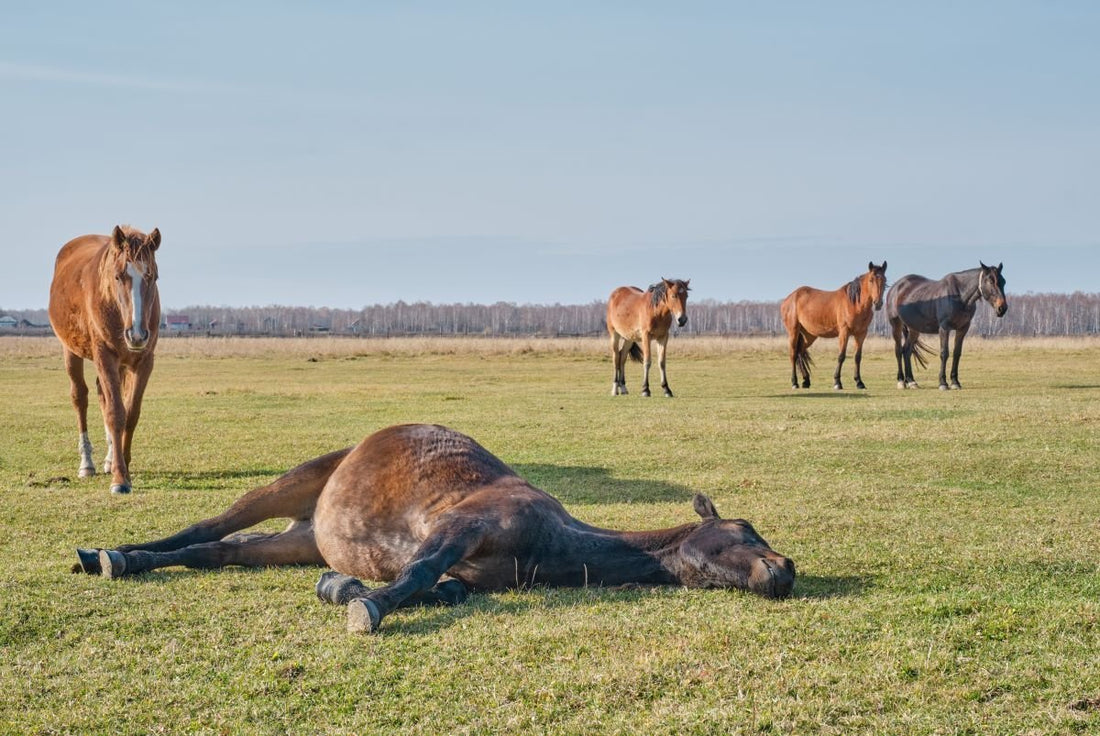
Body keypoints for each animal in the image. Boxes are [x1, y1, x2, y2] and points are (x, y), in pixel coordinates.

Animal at [48, 225, 162, 494]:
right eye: (118, 276)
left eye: (153, 277)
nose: (137, 334)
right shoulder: (105, 356)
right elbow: (115, 414)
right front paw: (120, 478)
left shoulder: (144, 362)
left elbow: (131, 414)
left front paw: (123, 465)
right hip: (72, 352)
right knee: (80, 398)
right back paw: (87, 464)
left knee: (102, 395)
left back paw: (109, 459)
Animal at [74, 423, 795, 633]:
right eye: (745, 529)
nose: (785, 570)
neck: (551, 543)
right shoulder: (458, 529)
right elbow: (417, 573)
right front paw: (365, 607)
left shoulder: (466, 569)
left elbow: (440, 588)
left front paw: (342, 589)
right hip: (292, 484)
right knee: (209, 524)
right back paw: (111, 553)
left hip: (295, 539)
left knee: (216, 552)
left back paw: (122, 560)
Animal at [780, 262, 888, 390]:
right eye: (871, 280)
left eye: (884, 280)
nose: (878, 303)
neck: (855, 304)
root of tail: (789, 298)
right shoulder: (844, 332)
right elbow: (841, 356)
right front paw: (837, 382)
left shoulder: (861, 333)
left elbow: (857, 357)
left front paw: (859, 382)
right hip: (793, 331)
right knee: (793, 354)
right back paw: (794, 382)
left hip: (809, 335)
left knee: (800, 352)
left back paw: (806, 381)